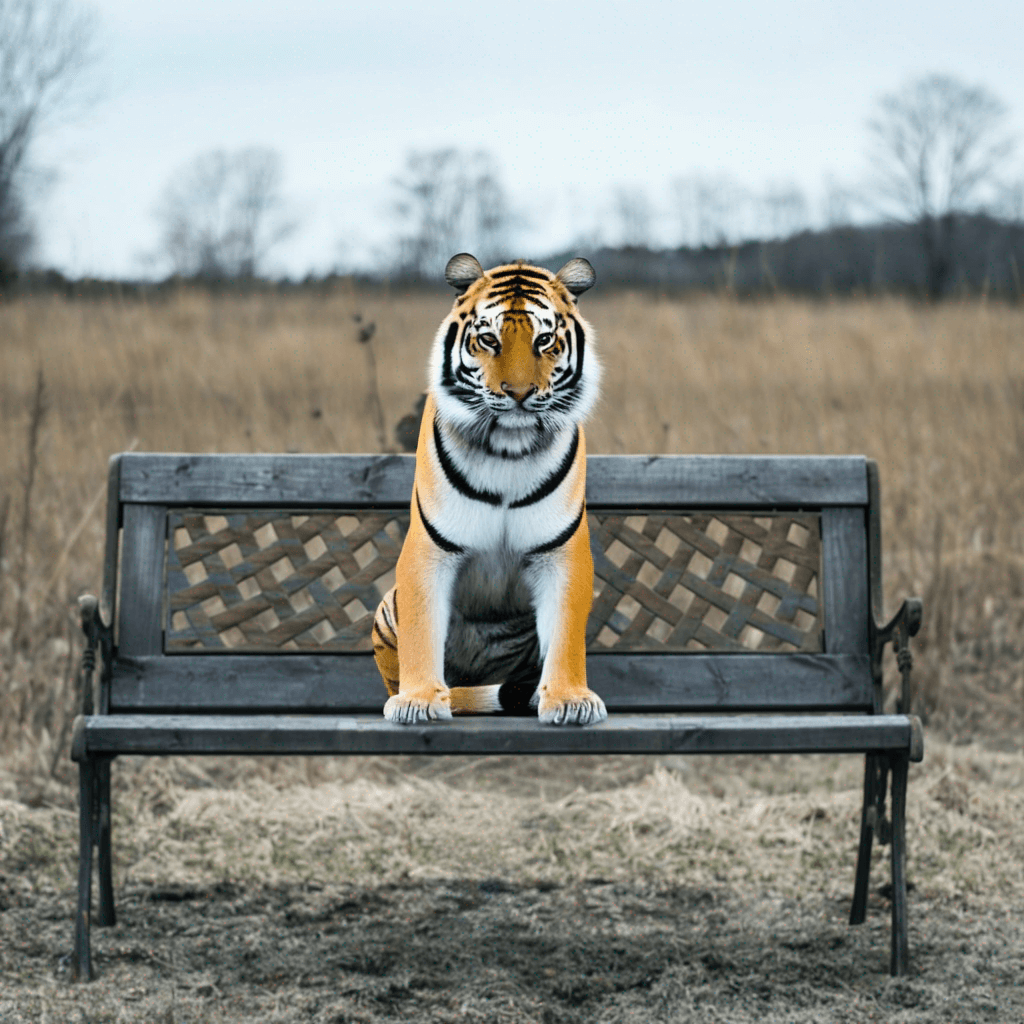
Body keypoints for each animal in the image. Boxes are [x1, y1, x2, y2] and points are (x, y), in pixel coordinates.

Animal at [371, 252, 606, 727]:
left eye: (545, 340)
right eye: (488, 339)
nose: (518, 393)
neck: (508, 448)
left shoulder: (562, 551)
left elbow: (566, 631)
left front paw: (569, 699)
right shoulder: (428, 548)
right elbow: (421, 630)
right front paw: (418, 700)